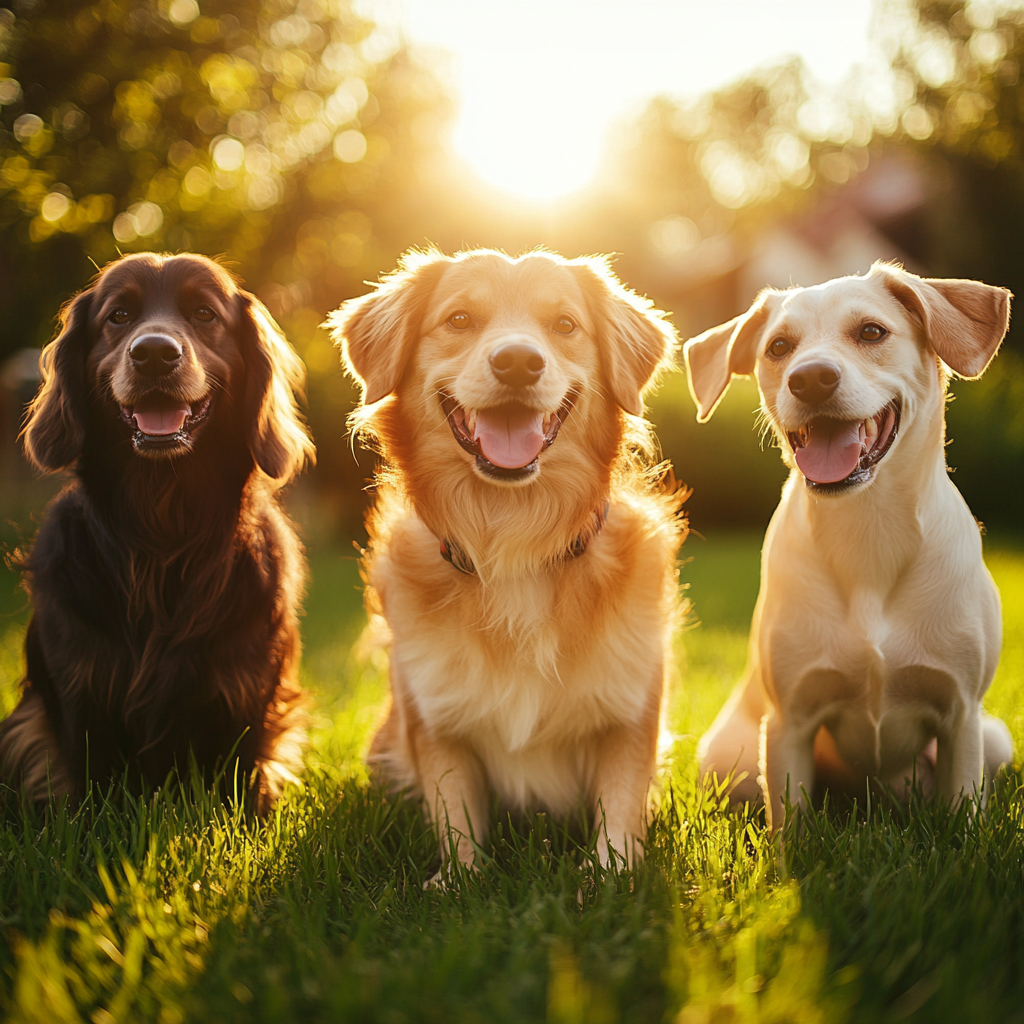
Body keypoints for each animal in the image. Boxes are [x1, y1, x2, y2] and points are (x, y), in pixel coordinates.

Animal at [0, 253, 311, 806]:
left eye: (205, 313)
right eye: (118, 316)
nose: (154, 354)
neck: (163, 529)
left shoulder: (249, 688)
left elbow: (242, 780)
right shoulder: (80, 688)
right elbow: (89, 783)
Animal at [323, 247, 684, 872]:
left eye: (564, 324)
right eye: (459, 320)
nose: (518, 361)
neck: (514, 542)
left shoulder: (632, 711)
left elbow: (619, 806)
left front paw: (611, 873)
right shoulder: (434, 716)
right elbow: (455, 808)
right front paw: (457, 878)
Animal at [684, 260, 1011, 827]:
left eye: (872, 332)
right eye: (778, 346)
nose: (811, 377)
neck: (868, 528)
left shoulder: (962, 716)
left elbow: (963, 813)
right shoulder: (790, 718)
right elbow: (790, 824)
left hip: (996, 738)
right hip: (729, 754)